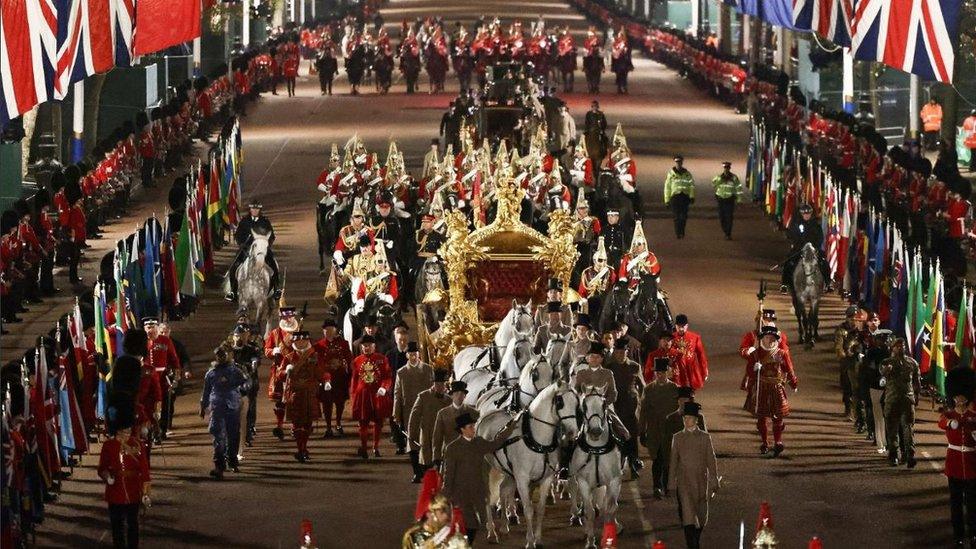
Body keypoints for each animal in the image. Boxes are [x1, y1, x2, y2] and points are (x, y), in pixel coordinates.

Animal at [480, 382, 580, 548]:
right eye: (560, 402)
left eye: (577, 402)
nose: (574, 433)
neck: (536, 439)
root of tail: (484, 417)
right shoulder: (522, 478)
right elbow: (528, 509)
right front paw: (530, 541)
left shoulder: (546, 478)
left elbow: (540, 509)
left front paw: (538, 539)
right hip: (488, 469)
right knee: (488, 497)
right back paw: (492, 533)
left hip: (508, 472)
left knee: (503, 489)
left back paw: (504, 525)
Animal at [568, 386, 620, 548]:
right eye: (584, 406)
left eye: (603, 405)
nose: (595, 431)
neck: (596, 449)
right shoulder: (584, 482)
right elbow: (589, 511)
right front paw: (590, 542)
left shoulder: (614, 481)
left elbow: (609, 509)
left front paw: (609, 537)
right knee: (574, 489)